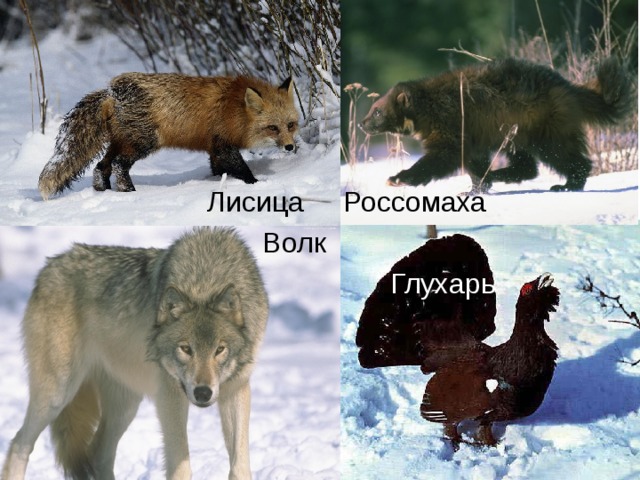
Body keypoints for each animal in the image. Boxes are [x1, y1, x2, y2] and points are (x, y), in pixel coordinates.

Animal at [1, 228, 268, 480]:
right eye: (186, 349)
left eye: (219, 350)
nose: (203, 393)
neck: (205, 279)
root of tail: (51, 264)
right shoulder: (170, 395)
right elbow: (181, 467)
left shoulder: (235, 389)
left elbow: (239, 466)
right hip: (58, 394)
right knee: (19, 444)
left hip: (126, 405)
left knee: (97, 453)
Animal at [38, 73, 299, 199]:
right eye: (273, 128)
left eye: (290, 125)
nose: (290, 147)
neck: (234, 109)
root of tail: (111, 90)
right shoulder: (223, 144)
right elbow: (242, 169)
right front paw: (255, 185)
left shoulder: (213, 146)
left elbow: (218, 169)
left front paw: (217, 181)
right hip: (142, 143)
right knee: (119, 165)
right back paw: (129, 192)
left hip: (120, 142)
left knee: (101, 166)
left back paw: (103, 192)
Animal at [360, 58, 631, 193]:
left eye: (377, 111)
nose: (362, 124)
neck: (428, 106)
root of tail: (569, 87)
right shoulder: (472, 133)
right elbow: (472, 159)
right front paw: (476, 186)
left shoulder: (451, 121)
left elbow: (443, 156)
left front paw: (398, 178)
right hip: (516, 130)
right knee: (526, 165)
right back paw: (502, 174)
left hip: (545, 124)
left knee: (562, 153)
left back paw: (568, 184)